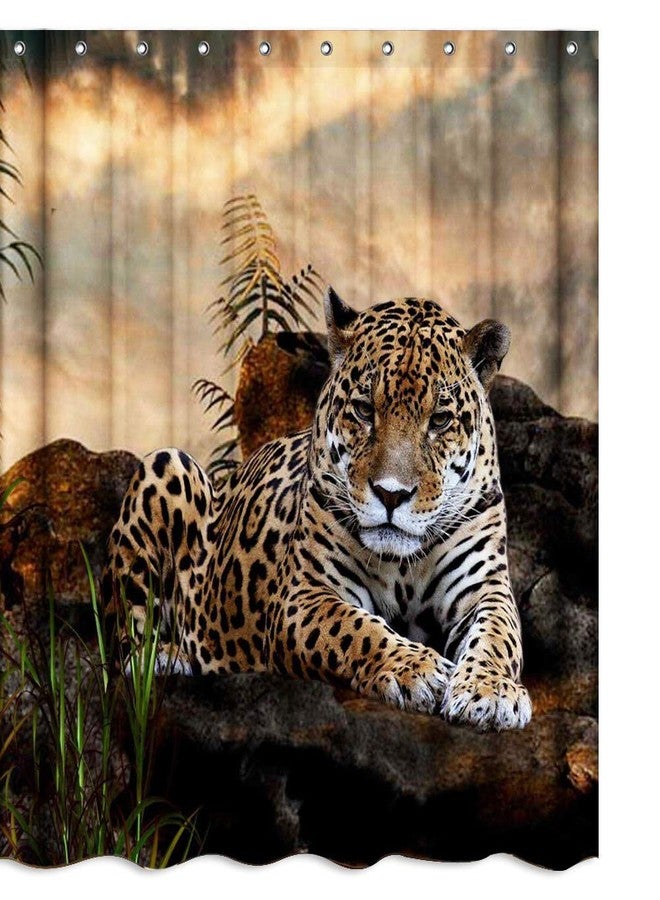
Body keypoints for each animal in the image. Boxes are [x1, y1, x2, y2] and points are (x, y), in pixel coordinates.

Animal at [102, 289, 532, 731]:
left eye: (441, 420)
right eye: (364, 410)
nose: (391, 494)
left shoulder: (484, 587)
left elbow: (498, 635)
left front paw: (490, 692)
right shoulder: (304, 596)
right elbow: (356, 629)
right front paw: (416, 669)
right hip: (165, 465)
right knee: (125, 646)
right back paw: (169, 658)